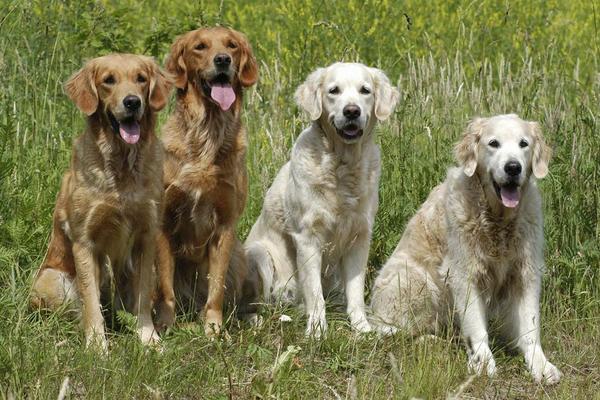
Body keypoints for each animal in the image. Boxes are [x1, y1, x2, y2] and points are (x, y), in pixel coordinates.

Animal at [29, 54, 172, 350]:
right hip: (54, 279)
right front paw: (96, 347)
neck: (122, 166)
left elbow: (142, 298)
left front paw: (148, 339)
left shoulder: (146, 237)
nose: (132, 102)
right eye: (108, 80)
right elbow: (91, 303)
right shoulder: (84, 241)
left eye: (141, 78)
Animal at [154, 26, 258, 336]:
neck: (208, 132)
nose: (223, 60)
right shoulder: (162, 222)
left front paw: (213, 329)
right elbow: (166, 287)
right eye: (200, 47)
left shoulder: (225, 224)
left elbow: (217, 288)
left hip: (239, 256)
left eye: (232, 45)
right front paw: (164, 325)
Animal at [246, 62, 400, 338]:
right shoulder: (308, 238)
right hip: (258, 254)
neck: (342, 166)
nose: (352, 111)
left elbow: (355, 291)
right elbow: (315, 294)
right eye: (334, 90)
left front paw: (362, 327)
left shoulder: (360, 236)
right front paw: (317, 331)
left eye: (365, 90)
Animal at [370, 113, 564, 384]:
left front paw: (541, 365)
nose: (513, 167)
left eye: (523, 144)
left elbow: (530, 327)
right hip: (416, 280)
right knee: (399, 331)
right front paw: (483, 362)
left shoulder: (526, 272)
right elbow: (476, 325)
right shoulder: (464, 274)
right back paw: (432, 340)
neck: (498, 221)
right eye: (493, 143)